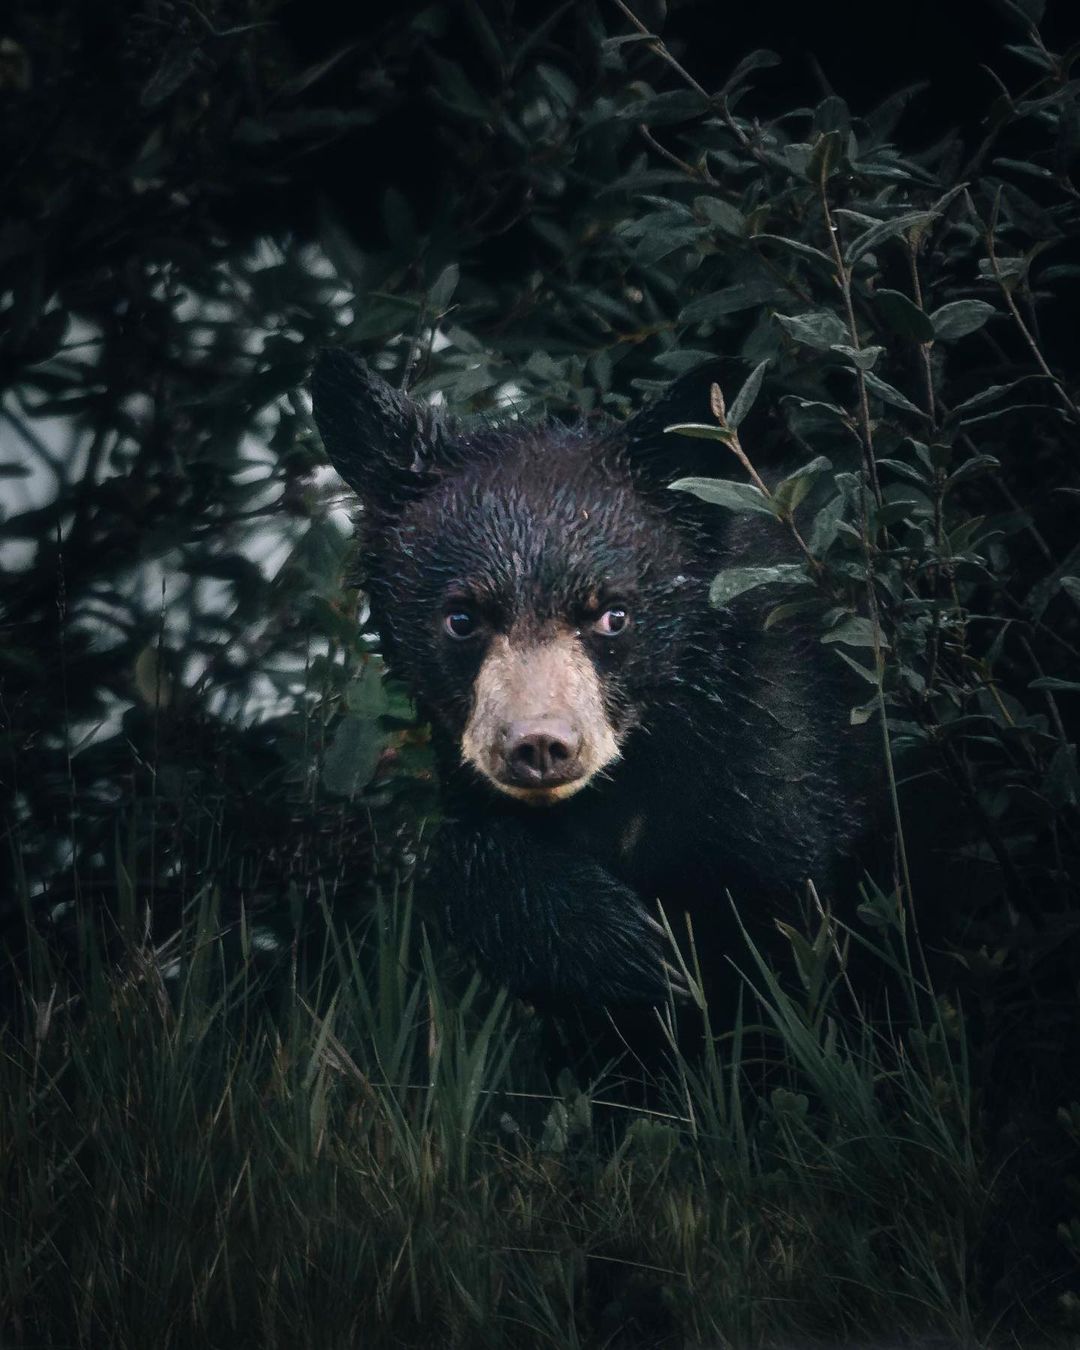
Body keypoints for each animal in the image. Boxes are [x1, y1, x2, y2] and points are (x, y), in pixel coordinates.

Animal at [311, 353, 869, 1009]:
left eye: (612, 614)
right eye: (462, 619)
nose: (539, 745)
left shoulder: (776, 751)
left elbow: (788, 914)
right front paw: (628, 950)